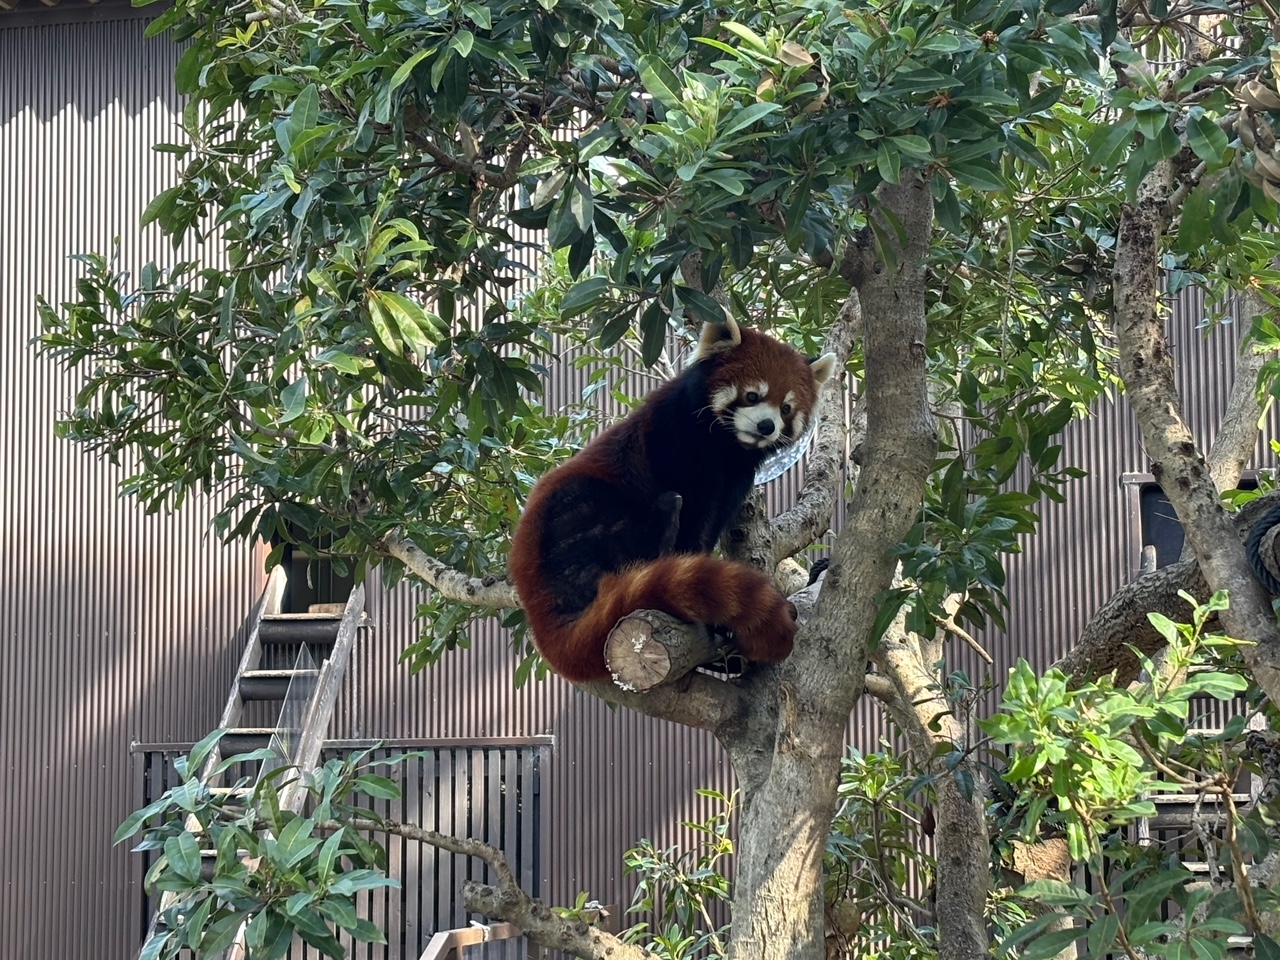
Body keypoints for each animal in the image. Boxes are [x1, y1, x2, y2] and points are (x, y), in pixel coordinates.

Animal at [509, 320, 839, 686]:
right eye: (753, 395)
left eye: (786, 408)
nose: (767, 426)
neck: (725, 447)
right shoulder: (674, 436)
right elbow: (693, 517)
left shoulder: (733, 482)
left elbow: (708, 526)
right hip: (569, 512)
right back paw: (662, 522)